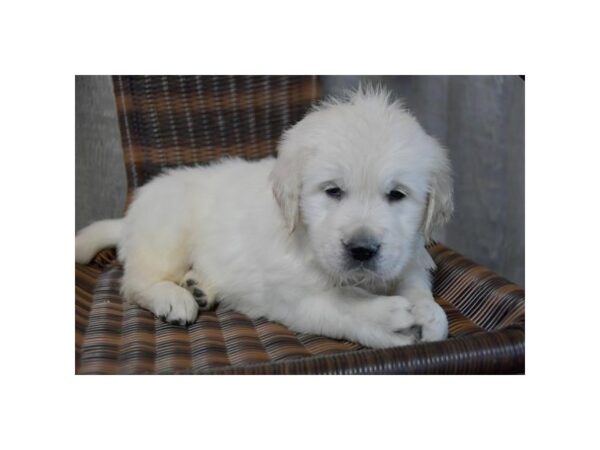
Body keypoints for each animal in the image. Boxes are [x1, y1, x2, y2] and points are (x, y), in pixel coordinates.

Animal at [76, 88, 450, 348]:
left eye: (397, 195)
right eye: (333, 191)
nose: (361, 249)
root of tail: (129, 218)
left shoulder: (408, 256)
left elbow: (417, 286)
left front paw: (430, 314)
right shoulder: (291, 297)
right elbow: (339, 302)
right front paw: (384, 318)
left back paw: (200, 287)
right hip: (166, 229)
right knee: (135, 282)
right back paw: (174, 297)